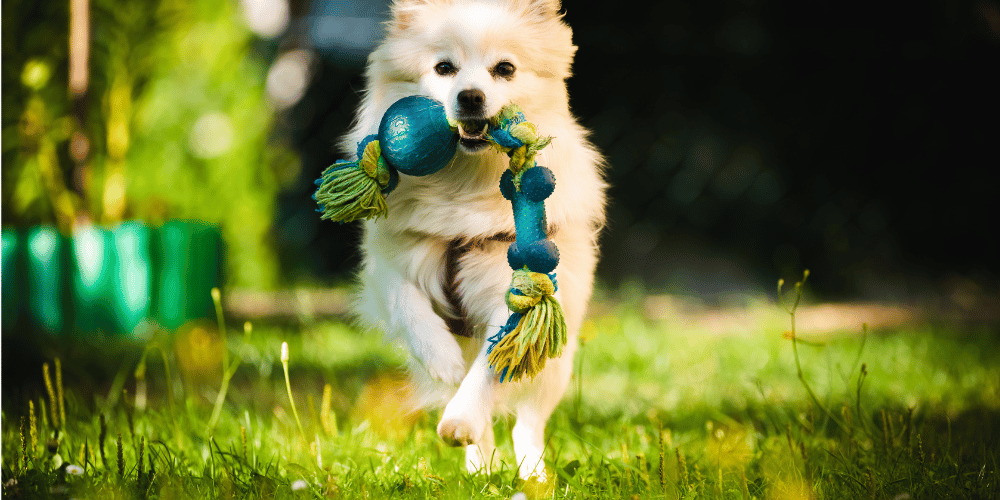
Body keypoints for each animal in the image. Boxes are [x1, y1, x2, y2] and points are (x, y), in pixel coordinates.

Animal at [344, 0, 604, 478]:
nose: (470, 97)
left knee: (528, 423)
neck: (464, 185)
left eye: (504, 69)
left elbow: (490, 365)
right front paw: (441, 358)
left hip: (555, 366)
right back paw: (479, 467)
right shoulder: (390, 263)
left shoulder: (518, 291)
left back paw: (533, 476)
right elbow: (407, 303)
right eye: (444, 68)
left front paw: (462, 418)